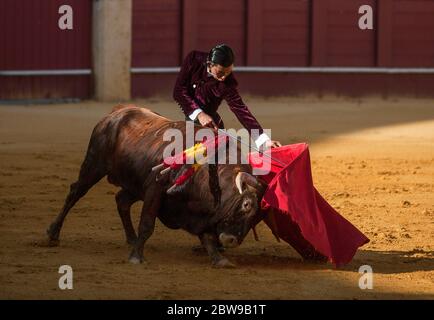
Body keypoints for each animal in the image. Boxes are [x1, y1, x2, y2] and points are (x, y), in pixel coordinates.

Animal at [45, 105, 266, 268]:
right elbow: (147, 223)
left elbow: (207, 236)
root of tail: (116, 113)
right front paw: (136, 257)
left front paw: (220, 259)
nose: (232, 239)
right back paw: (53, 234)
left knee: (121, 200)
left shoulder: (200, 211)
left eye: (257, 217)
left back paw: (131, 238)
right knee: (75, 192)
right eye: (246, 204)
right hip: (94, 164)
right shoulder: (155, 189)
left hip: (134, 184)